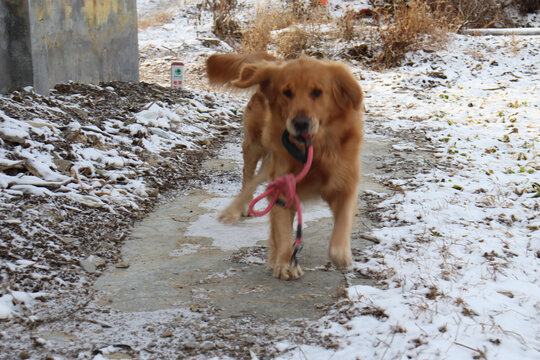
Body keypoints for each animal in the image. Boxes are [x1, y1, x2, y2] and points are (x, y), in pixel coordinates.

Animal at [205, 52, 364, 280]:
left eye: (317, 92)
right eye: (287, 93)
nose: (300, 123)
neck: (314, 152)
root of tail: (275, 61)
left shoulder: (345, 184)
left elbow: (343, 222)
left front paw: (341, 254)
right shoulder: (282, 186)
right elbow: (283, 230)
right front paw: (284, 262)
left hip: (269, 160)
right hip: (256, 144)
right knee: (249, 177)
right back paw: (236, 209)